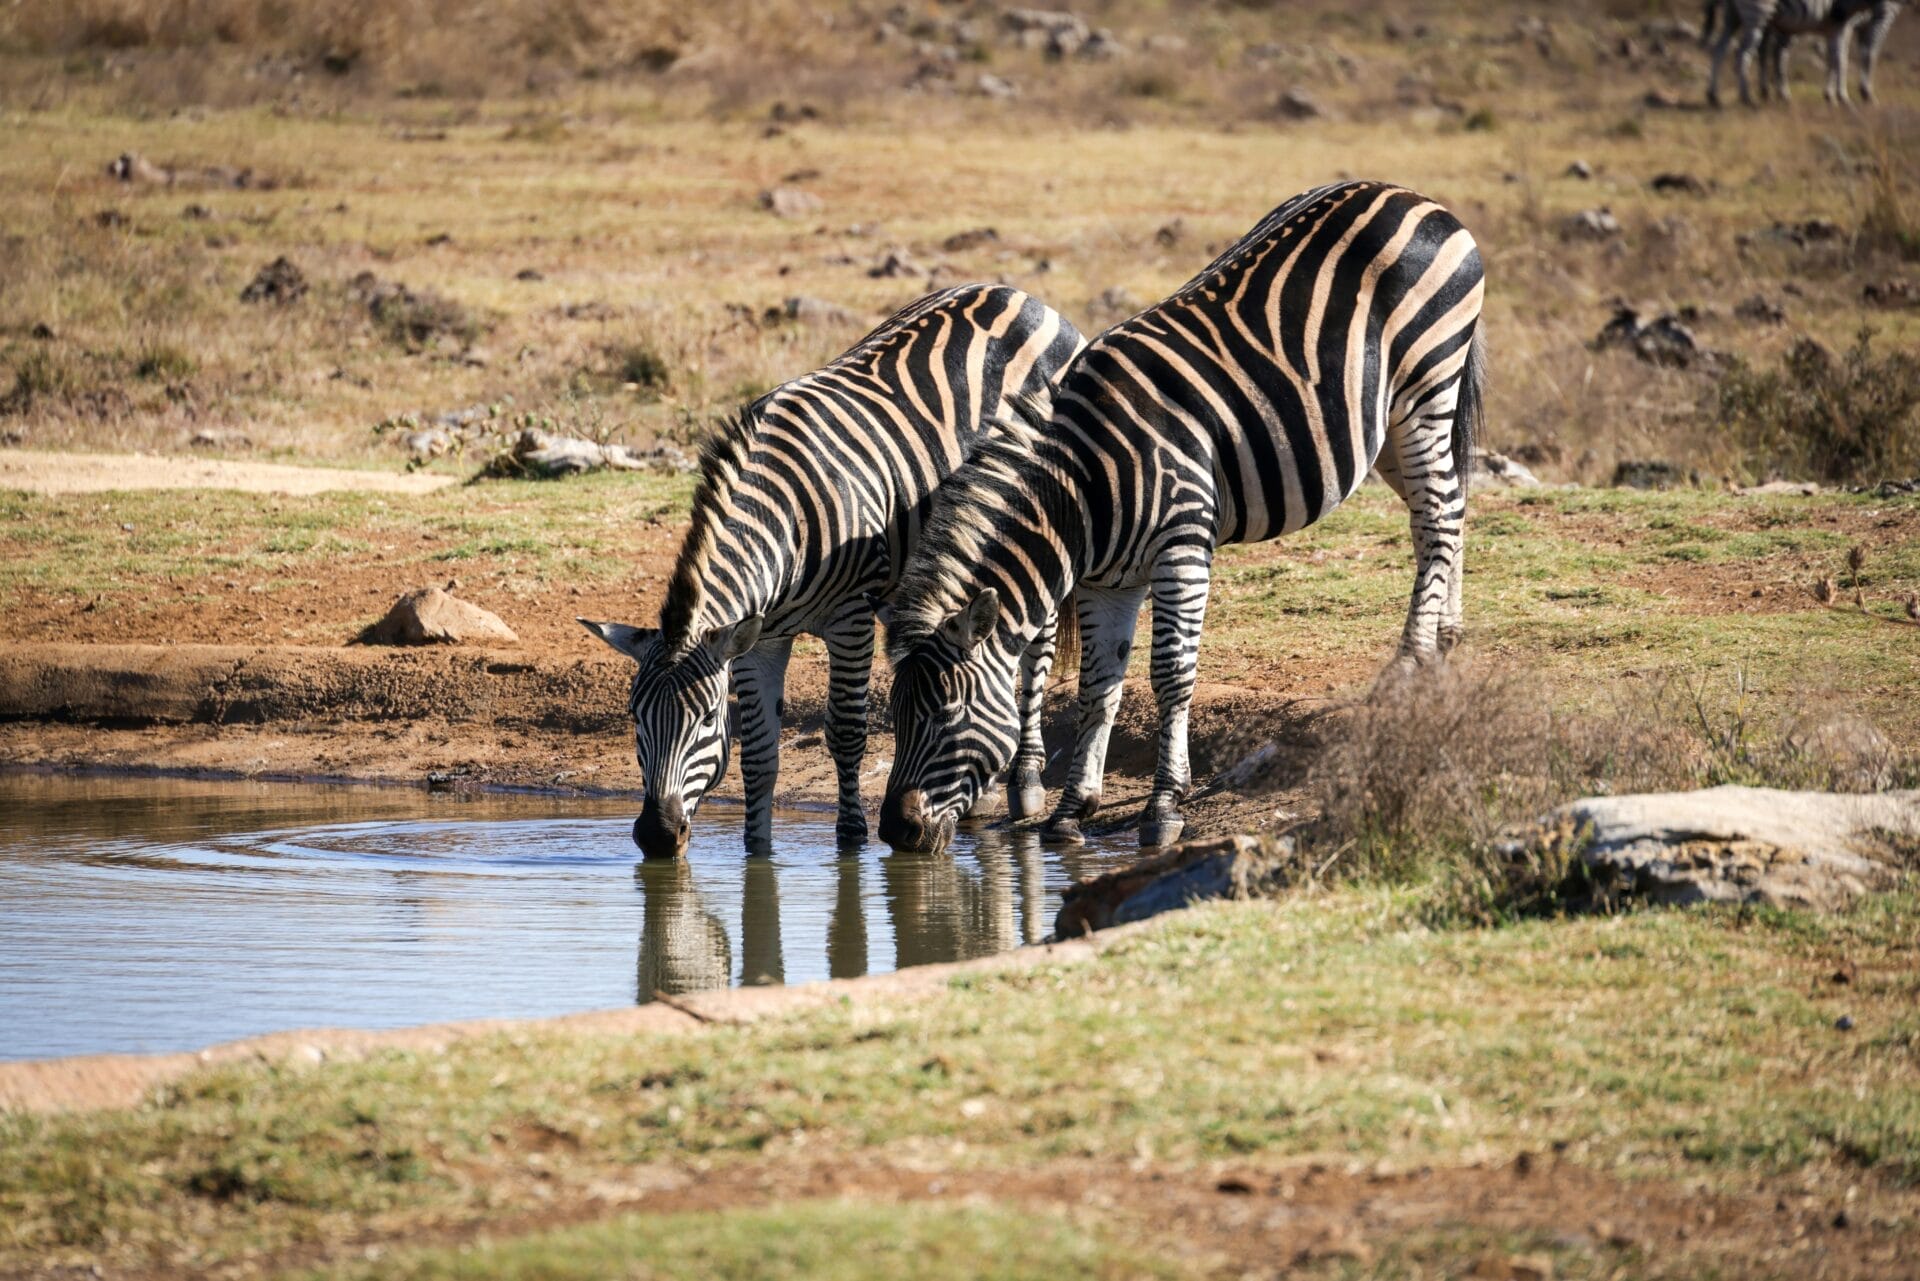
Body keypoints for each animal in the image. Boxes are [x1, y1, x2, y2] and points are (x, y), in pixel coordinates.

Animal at [581, 283, 1084, 859]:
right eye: (633, 716)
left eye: (707, 718)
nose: (658, 836)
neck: (785, 523)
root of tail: (1022, 296)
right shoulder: (760, 638)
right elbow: (759, 751)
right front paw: (758, 851)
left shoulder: (850, 617)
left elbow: (845, 731)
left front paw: (851, 839)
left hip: (1037, 511)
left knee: (1036, 651)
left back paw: (1025, 782)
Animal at [872, 181, 1486, 855]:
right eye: (896, 716)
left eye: (946, 714)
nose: (895, 831)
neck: (1085, 493)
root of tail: (1407, 194)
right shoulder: (1107, 582)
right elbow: (1097, 687)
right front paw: (1072, 810)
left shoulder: (1183, 550)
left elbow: (1169, 675)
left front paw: (1164, 806)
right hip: (1386, 427)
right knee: (1445, 507)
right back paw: (1444, 641)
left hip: (1426, 388)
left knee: (1437, 517)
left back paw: (1408, 662)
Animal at [1706, 0, 1903, 106]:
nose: (1836, 10)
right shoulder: (1878, 16)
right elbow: (1856, 57)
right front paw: (1857, 95)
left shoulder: (1837, 26)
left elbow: (1835, 59)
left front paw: (1831, 95)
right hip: (1759, 13)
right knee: (1744, 55)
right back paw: (1748, 98)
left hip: (1735, 16)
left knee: (1720, 49)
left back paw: (1714, 97)